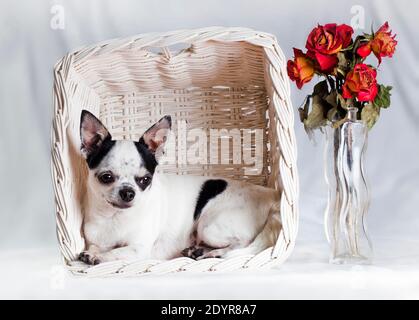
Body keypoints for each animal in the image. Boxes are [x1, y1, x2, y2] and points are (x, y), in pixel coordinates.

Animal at [79, 110, 282, 264]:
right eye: (106, 177)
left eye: (145, 180)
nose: (128, 192)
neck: (113, 217)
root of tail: (271, 194)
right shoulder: (97, 238)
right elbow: (96, 246)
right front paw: (93, 252)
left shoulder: (139, 249)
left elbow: (115, 253)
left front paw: (99, 257)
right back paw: (197, 251)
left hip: (209, 227)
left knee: (243, 243)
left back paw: (214, 253)